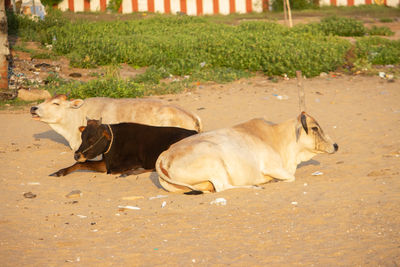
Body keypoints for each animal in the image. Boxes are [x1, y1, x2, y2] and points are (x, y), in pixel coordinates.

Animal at [50, 120, 198, 178]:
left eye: (92, 139)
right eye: (82, 137)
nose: (77, 155)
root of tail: (194, 132)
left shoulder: (131, 162)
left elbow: (114, 170)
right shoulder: (105, 164)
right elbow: (82, 164)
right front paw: (60, 172)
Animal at [156, 113, 338, 195]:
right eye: (314, 128)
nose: (335, 145)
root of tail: (165, 155)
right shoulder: (272, 167)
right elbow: (290, 177)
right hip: (215, 164)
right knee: (223, 187)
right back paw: (254, 186)